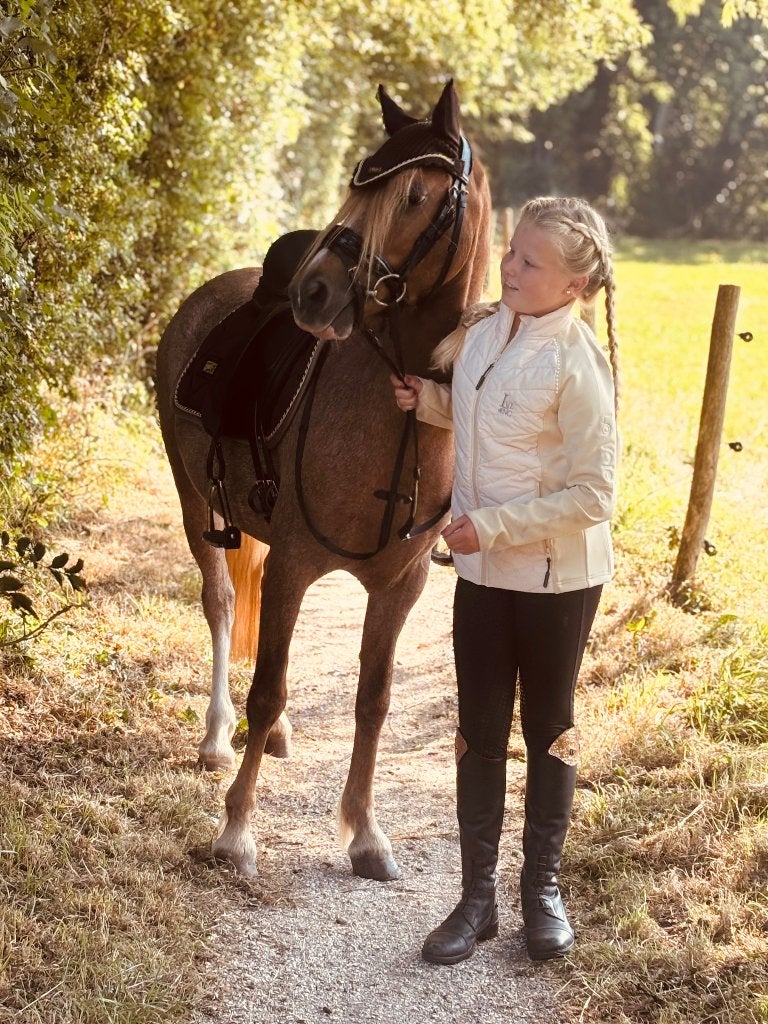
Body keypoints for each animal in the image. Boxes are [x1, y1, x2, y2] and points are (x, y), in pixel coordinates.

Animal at [155, 79, 491, 880]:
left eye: (414, 196)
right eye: (358, 181)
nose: (315, 291)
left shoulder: (401, 586)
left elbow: (373, 700)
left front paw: (365, 833)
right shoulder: (296, 566)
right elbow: (269, 686)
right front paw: (236, 830)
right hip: (194, 501)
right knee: (220, 602)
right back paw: (218, 738)